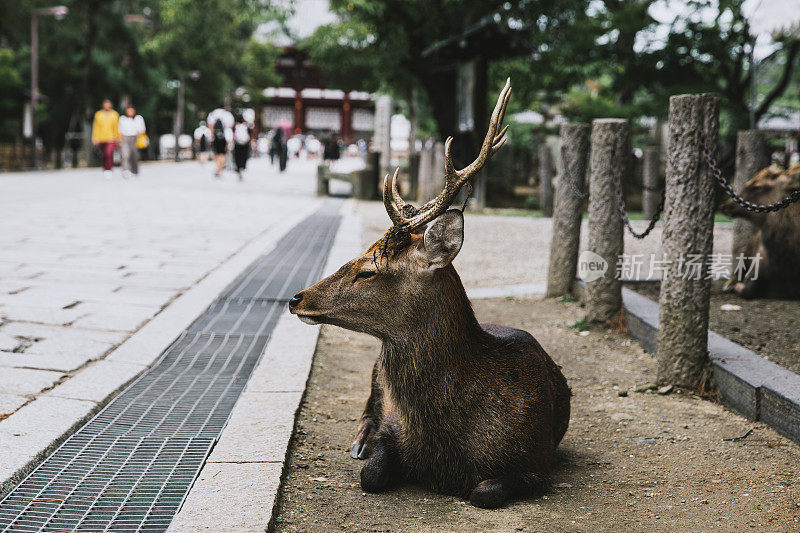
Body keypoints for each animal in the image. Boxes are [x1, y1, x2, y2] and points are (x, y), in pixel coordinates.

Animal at [290, 78, 572, 508]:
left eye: (368, 270)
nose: (296, 298)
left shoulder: (536, 462)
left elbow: (484, 492)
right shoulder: (392, 429)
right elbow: (371, 473)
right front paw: (369, 452)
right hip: (374, 373)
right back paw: (359, 440)